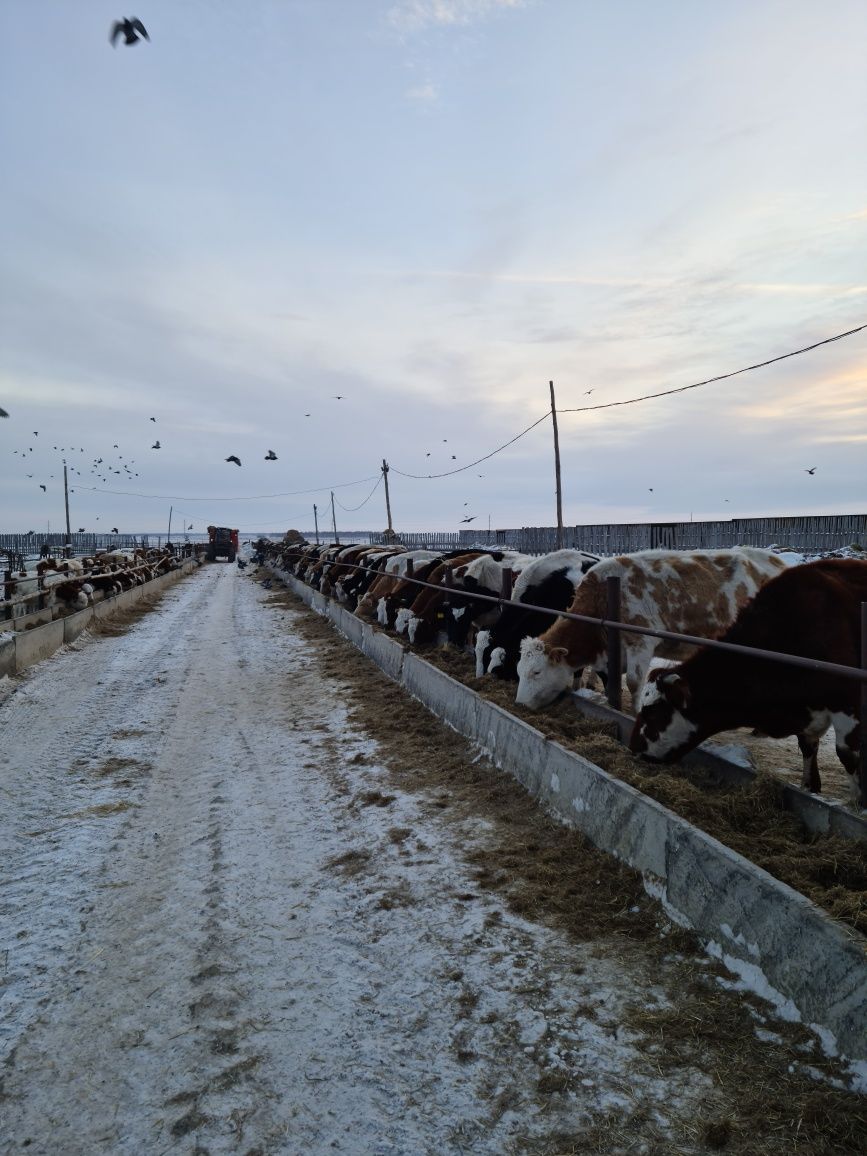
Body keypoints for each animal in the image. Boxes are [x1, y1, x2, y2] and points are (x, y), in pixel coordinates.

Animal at [515, 545, 795, 707]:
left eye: (536, 672)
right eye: (519, 669)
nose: (518, 704)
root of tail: (777, 561)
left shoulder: (641, 643)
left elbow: (633, 683)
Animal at [633, 557, 867, 795]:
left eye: (653, 713)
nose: (633, 745)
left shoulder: (848, 703)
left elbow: (848, 755)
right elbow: (807, 747)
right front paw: (810, 787)